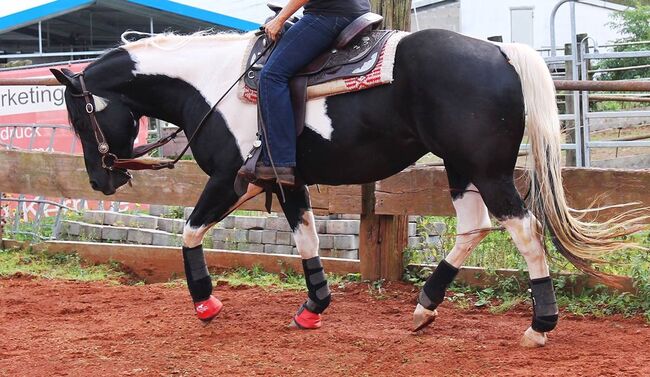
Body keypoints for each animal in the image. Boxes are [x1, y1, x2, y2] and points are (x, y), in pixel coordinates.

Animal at [52, 28, 644, 346]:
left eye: (80, 116)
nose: (101, 179)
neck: (212, 84)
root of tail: (500, 51)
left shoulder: (227, 178)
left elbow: (190, 232)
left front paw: (206, 305)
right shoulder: (284, 179)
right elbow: (307, 238)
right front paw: (314, 306)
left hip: (489, 170)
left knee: (523, 229)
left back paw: (540, 325)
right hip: (460, 167)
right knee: (474, 226)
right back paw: (425, 307)